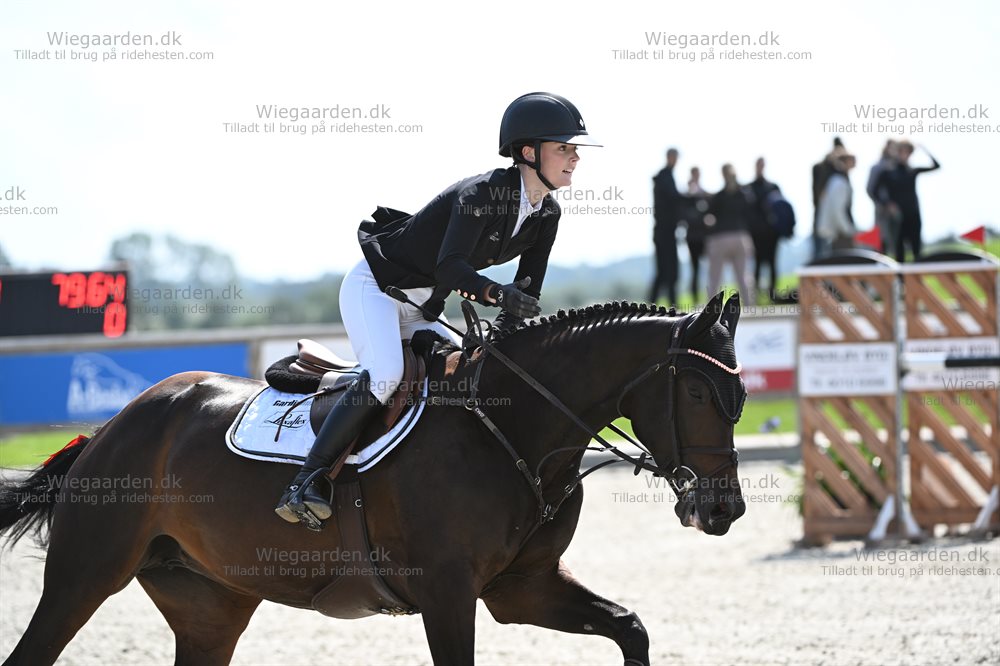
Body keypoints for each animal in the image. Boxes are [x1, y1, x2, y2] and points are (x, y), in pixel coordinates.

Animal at [0, 291, 747, 666]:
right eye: (700, 393)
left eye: (739, 397)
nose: (724, 511)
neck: (511, 428)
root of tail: (112, 427)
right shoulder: (448, 594)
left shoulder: (522, 588)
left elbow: (630, 629)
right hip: (84, 576)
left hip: (208, 604)